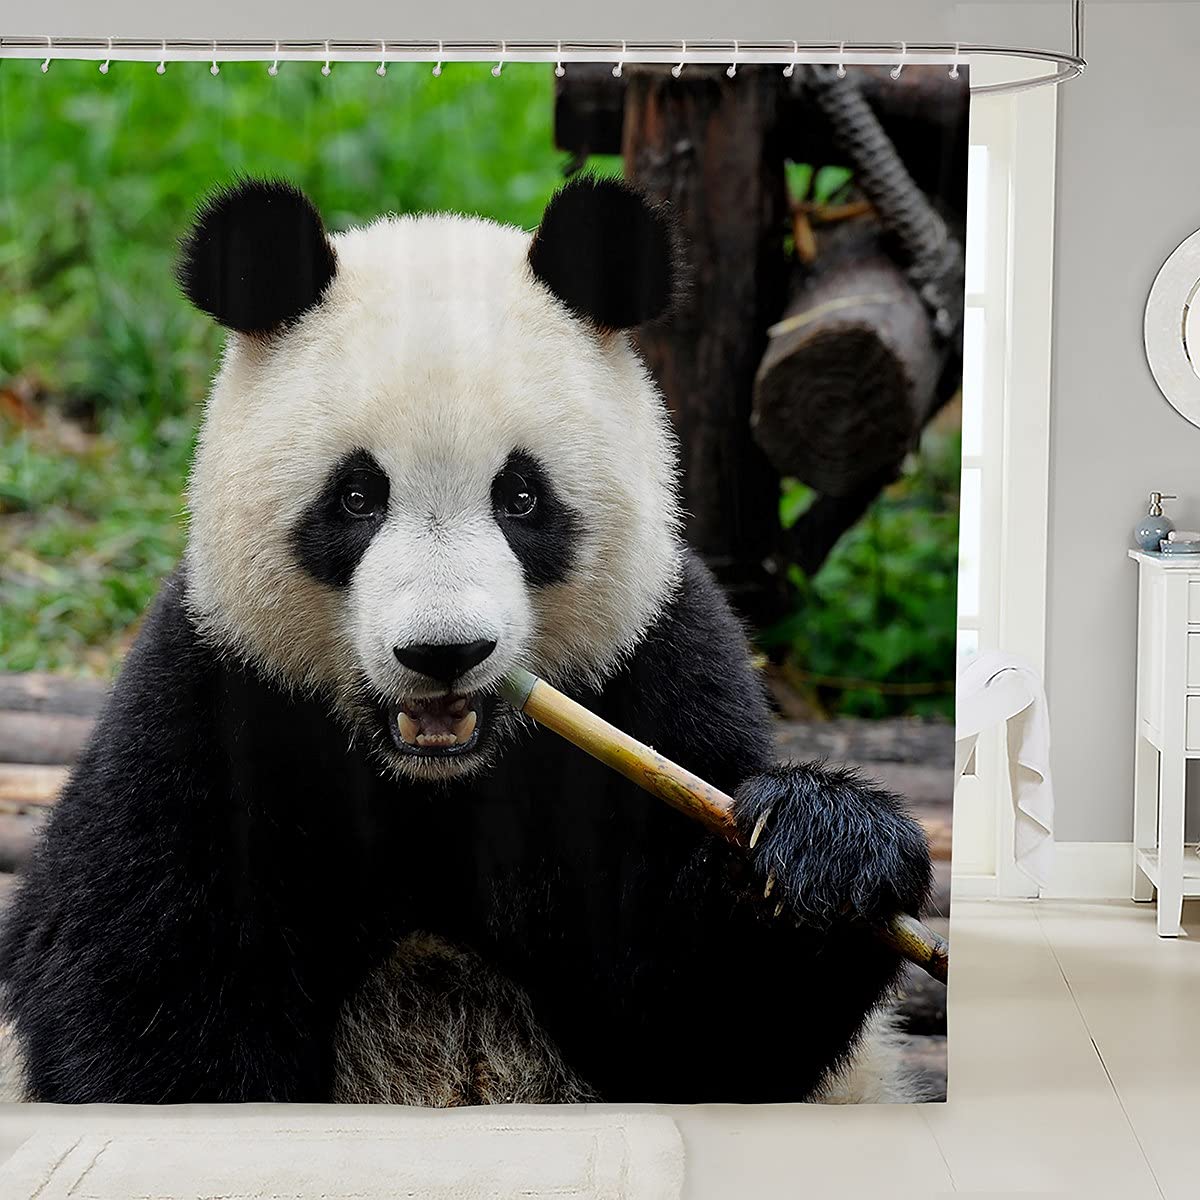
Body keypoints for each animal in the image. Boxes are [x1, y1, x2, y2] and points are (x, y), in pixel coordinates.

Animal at [0, 176, 932, 1106]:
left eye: (520, 497)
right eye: (356, 497)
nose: (443, 653)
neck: (437, 786)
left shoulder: (658, 668)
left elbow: (709, 1032)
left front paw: (823, 854)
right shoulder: (215, 697)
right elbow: (138, 987)